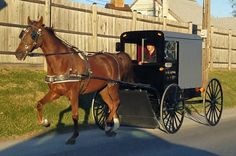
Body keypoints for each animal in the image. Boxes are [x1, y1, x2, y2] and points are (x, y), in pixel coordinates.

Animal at [15, 16, 133, 144]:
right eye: (22, 34)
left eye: (33, 34)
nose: (18, 54)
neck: (63, 62)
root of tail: (115, 56)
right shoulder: (55, 92)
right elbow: (40, 104)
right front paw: (45, 122)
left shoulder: (74, 93)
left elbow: (75, 115)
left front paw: (74, 136)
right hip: (103, 89)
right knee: (111, 105)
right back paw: (112, 126)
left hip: (113, 86)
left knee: (116, 102)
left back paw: (109, 125)